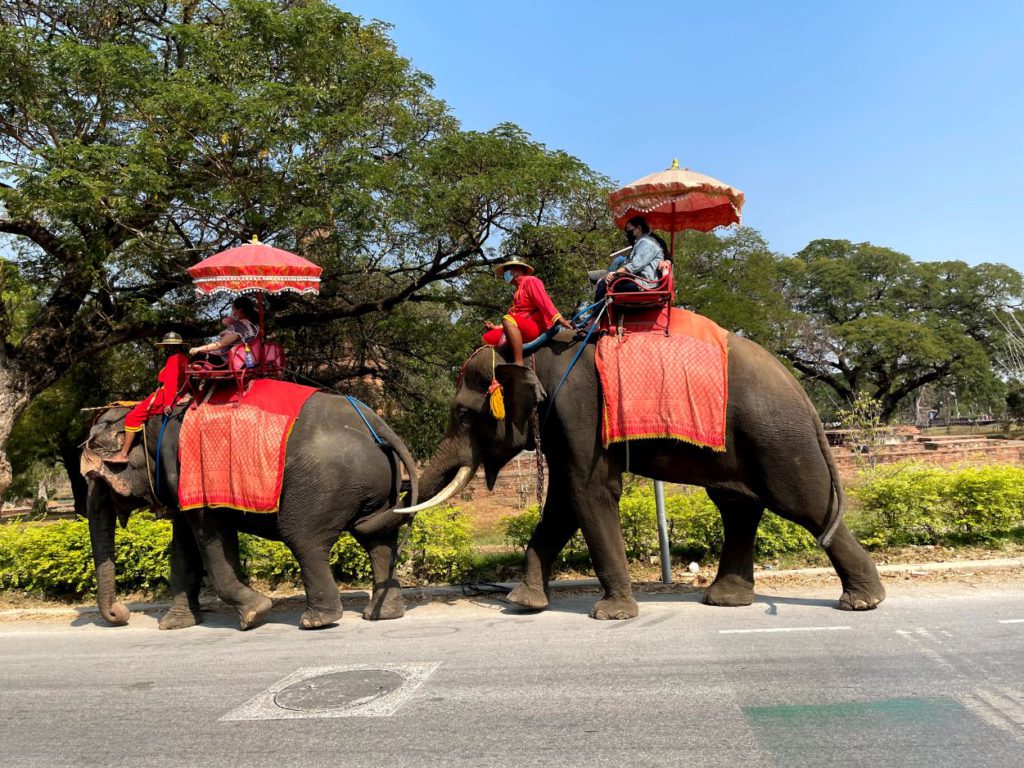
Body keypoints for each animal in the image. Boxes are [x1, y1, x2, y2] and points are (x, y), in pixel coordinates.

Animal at [81, 393, 454, 634]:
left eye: (97, 479)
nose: (120, 614)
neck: (152, 416)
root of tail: (377, 423)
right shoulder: (179, 482)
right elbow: (184, 545)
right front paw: (175, 625)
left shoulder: (190, 471)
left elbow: (211, 539)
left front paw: (253, 614)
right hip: (376, 486)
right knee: (377, 538)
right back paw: (382, 615)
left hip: (322, 486)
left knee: (304, 539)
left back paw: (317, 621)